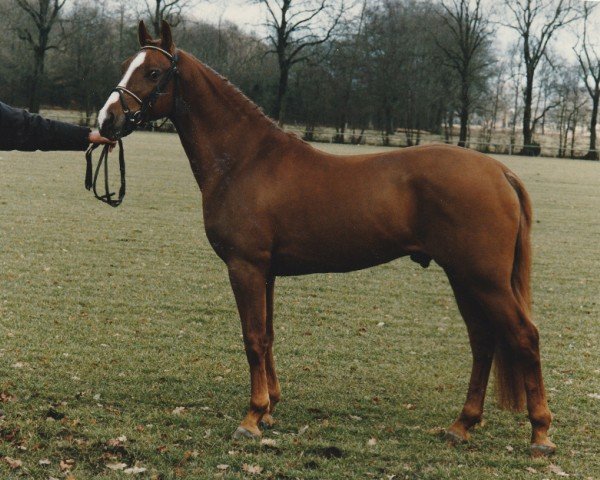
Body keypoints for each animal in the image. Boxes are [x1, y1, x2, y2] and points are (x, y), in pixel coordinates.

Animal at [97, 21, 552, 458]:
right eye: (124, 64)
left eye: (153, 72)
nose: (106, 120)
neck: (244, 160)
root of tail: (498, 170)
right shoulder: (267, 273)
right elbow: (268, 335)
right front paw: (270, 409)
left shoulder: (245, 267)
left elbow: (252, 338)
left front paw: (251, 417)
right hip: (464, 277)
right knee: (483, 340)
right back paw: (462, 425)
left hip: (483, 279)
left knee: (523, 337)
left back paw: (540, 434)